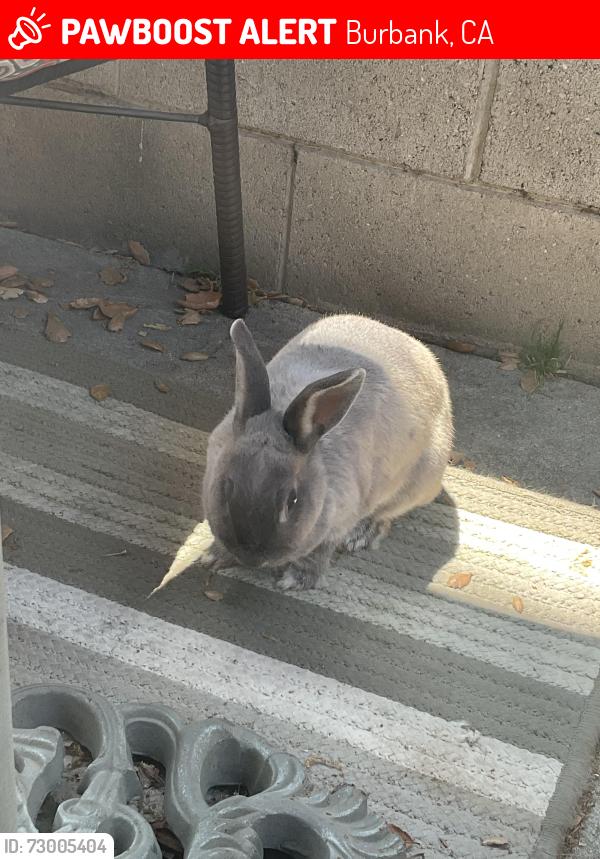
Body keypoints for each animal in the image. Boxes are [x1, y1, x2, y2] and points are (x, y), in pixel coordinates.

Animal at [201, 313, 453, 591]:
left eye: (292, 500)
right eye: (224, 486)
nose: (251, 558)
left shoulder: (340, 519)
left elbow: (319, 553)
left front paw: (296, 580)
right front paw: (213, 556)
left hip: (418, 482)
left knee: (386, 513)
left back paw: (362, 534)